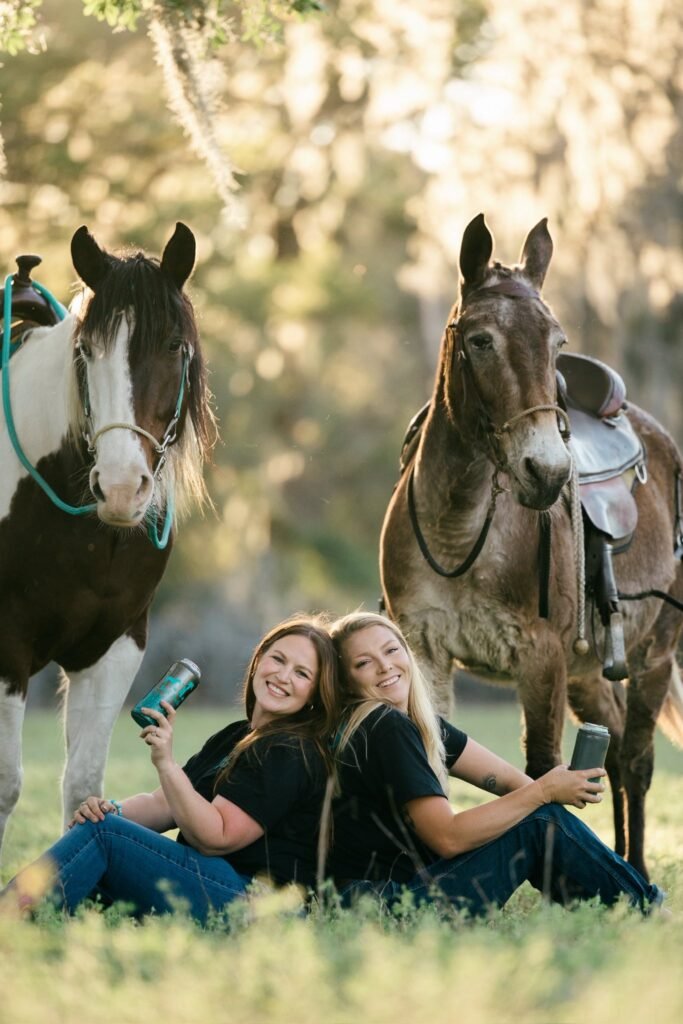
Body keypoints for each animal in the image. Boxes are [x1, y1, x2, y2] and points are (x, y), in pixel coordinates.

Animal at [0, 223, 216, 859]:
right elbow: (7, 785)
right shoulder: (6, 646)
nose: (120, 488)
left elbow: (83, 787)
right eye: (87, 352)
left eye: (174, 345)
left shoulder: (114, 645)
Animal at [380, 213, 683, 879]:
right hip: (589, 671)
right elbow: (435, 757)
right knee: (613, 750)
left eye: (556, 342)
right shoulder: (425, 651)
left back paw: (639, 871)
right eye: (481, 341)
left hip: (654, 652)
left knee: (638, 759)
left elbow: (544, 773)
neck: (461, 527)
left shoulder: (540, 660)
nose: (546, 472)